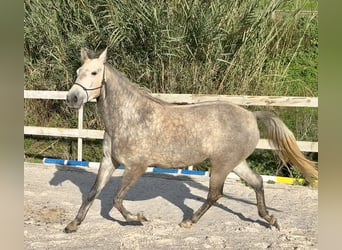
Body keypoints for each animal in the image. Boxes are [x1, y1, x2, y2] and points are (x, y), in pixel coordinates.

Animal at [65, 48, 318, 232]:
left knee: (215, 194)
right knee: (256, 183)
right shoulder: (109, 162)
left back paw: (189, 221)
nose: (72, 98)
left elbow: (117, 200)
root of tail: (251, 115)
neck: (129, 117)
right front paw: (73, 225)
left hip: (221, 164)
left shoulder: (137, 167)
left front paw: (138, 218)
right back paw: (270, 219)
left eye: (95, 73)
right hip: (235, 163)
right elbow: (92, 193)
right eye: (78, 71)